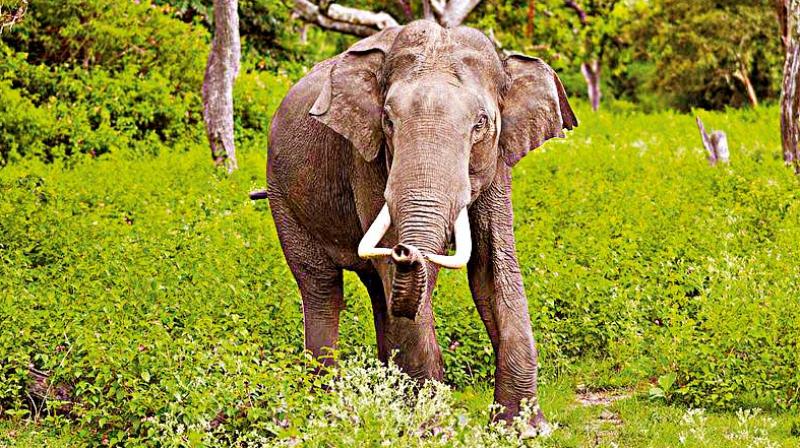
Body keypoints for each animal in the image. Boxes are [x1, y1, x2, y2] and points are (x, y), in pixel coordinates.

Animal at [259, 19, 576, 431]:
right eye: (388, 121)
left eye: (481, 124)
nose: (405, 250)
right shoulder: (367, 158)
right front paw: (430, 426)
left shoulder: (498, 160)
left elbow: (493, 268)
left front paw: (523, 428)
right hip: (282, 196)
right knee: (322, 287)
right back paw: (326, 407)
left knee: (378, 291)